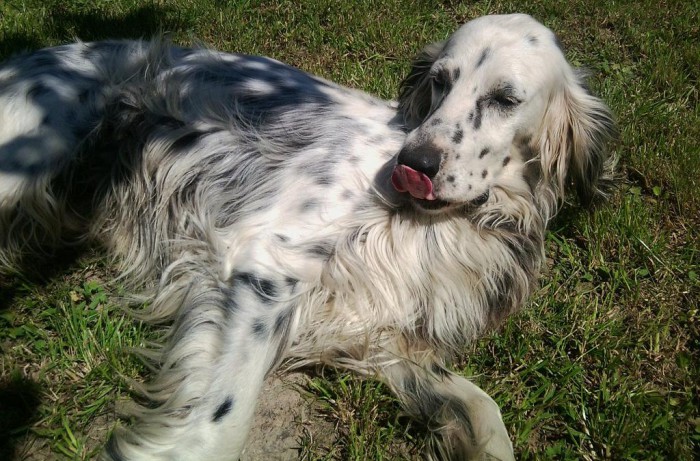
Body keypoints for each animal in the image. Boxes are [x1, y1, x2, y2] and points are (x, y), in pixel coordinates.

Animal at [0, 12, 612, 458]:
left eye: (505, 98)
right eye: (439, 82)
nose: (411, 162)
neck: (449, 220)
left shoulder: (382, 333)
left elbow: (485, 412)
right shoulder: (265, 266)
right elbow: (216, 428)